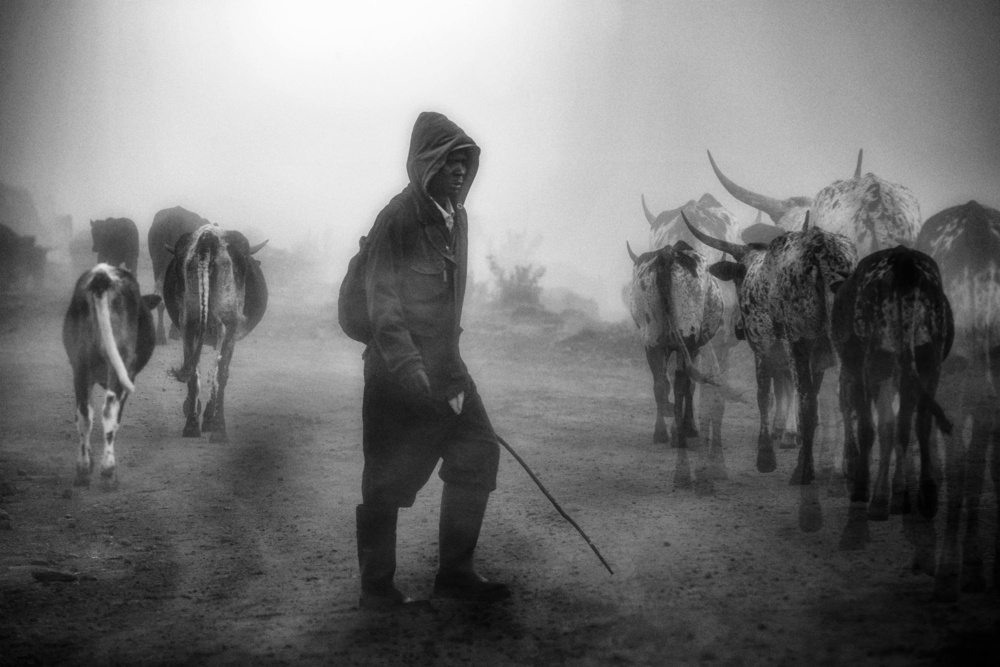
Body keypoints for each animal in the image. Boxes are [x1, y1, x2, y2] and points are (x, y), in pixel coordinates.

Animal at [62, 262, 160, 486]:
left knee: (84, 413)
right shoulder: (128, 374)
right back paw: (108, 470)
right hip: (118, 365)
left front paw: (89, 460)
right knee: (108, 410)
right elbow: (116, 416)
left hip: (80, 364)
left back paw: (83, 469)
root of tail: (102, 277)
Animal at [164, 223, 268, 444]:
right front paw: (210, 418)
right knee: (220, 372)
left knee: (194, 372)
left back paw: (191, 426)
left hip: (188, 323)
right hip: (227, 324)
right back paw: (219, 430)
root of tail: (208, 237)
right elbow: (218, 373)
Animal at [628, 237, 724, 452]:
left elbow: (666, 381)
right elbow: (689, 386)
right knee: (681, 383)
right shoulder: (693, 347)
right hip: (687, 335)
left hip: (652, 338)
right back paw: (679, 435)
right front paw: (690, 428)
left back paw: (661, 432)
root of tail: (668, 253)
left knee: (660, 383)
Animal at [688, 211, 860, 498]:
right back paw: (843, 474)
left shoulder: (764, 347)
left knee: (806, 402)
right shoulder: (819, 358)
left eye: (738, 278)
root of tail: (824, 250)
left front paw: (766, 456)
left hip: (797, 342)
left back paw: (804, 472)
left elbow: (764, 396)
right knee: (844, 400)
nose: (738, 329)